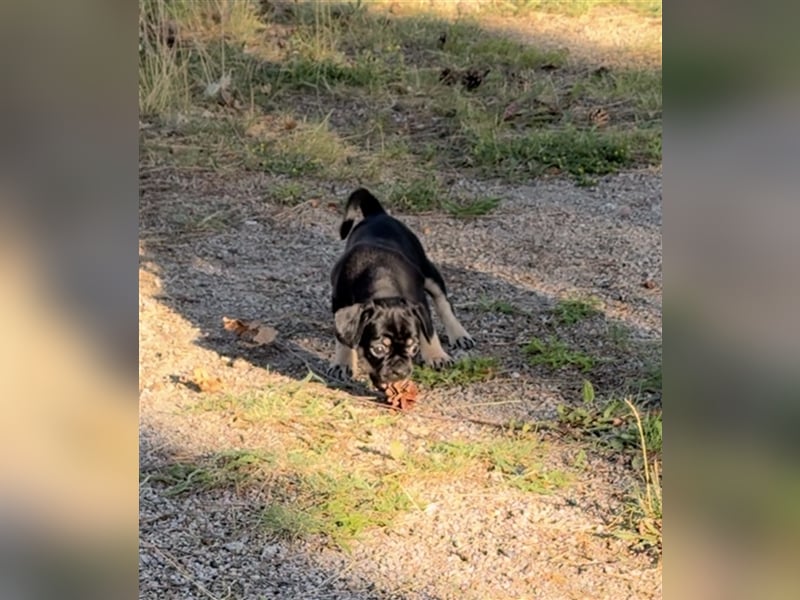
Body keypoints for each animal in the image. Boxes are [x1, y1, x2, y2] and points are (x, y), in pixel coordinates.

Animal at [326, 189, 472, 394]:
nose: (400, 371)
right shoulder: (339, 300)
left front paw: (435, 355)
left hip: (428, 271)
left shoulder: (419, 302)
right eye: (378, 349)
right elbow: (343, 337)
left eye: (413, 347)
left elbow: (429, 331)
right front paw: (343, 363)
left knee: (443, 303)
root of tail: (377, 214)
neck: (382, 284)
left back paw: (459, 334)